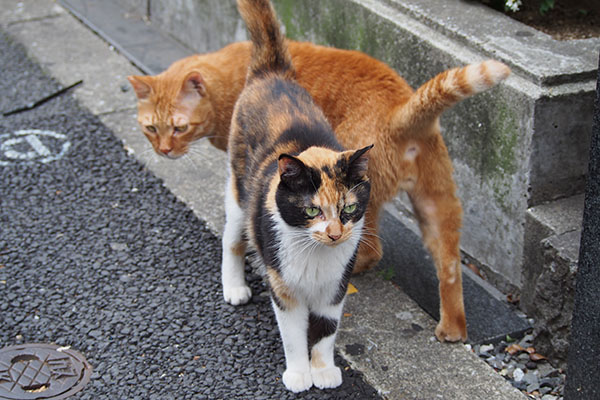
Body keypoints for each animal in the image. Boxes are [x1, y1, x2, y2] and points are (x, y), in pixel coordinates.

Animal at [129, 15, 508, 342]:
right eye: (151, 129)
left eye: (179, 128)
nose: (164, 151)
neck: (231, 75)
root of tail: (402, 109)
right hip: (436, 204)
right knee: (449, 266)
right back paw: (453, 328)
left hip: (360, 201)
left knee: (370, 251)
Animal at [220, 0, 370, 392]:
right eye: (312, 211)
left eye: (349, 208)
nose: (335, 234)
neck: (315, 256)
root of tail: (273, 73)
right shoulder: (284, 287)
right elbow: (293, 333)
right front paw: (300, 373)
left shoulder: (336, 287)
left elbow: (326, 330)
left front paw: (324, 370)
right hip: (239, 195)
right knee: (232, 238)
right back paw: (235, 286)